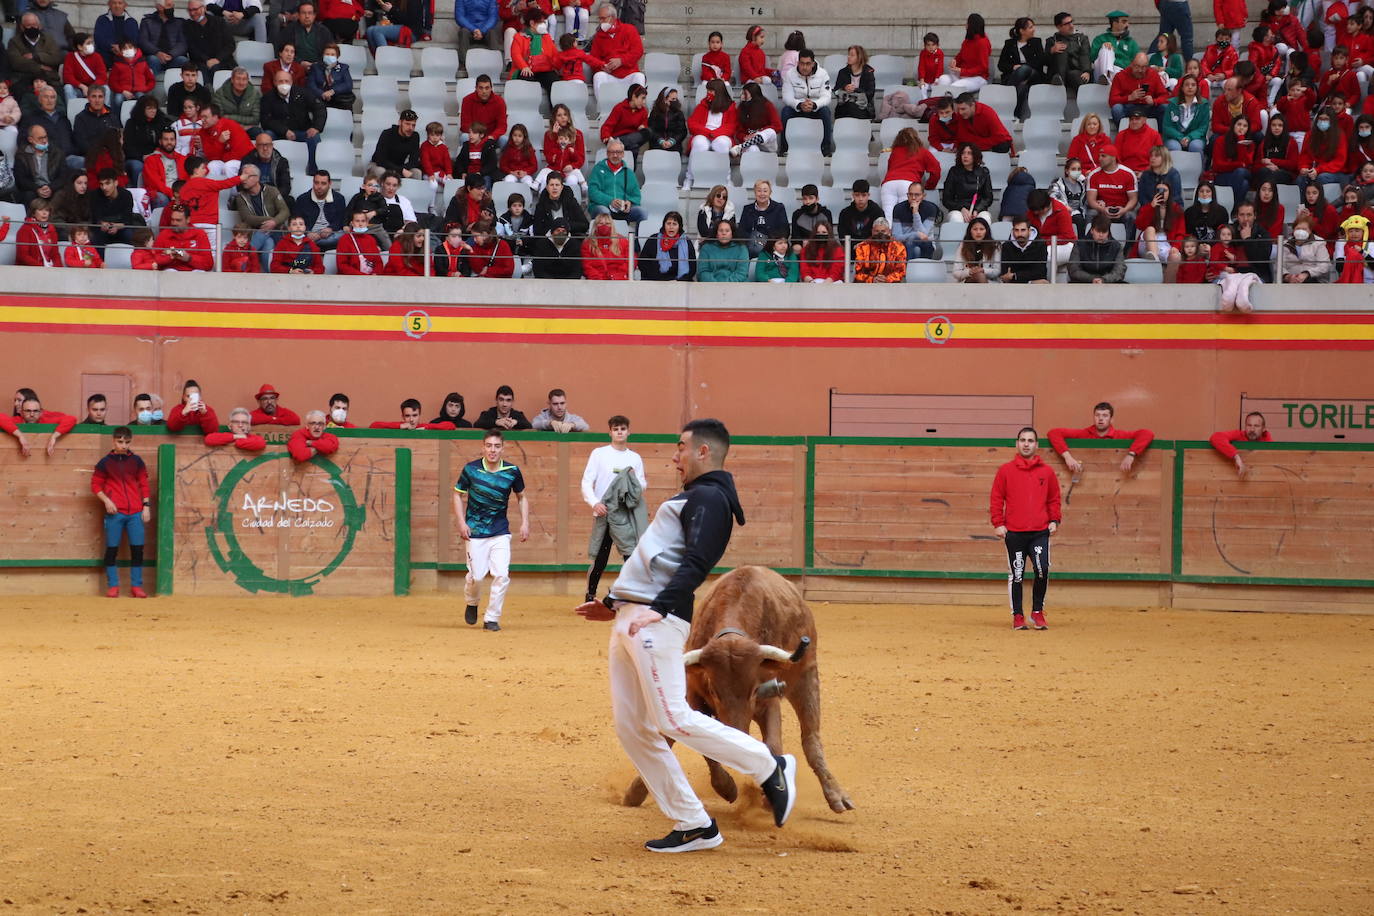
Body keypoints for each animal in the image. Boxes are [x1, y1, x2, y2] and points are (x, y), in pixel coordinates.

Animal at [621, 568, 846, 813]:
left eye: (755, 689)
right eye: (714, 690)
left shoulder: (768, 701)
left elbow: (773, 744)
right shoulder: (695, 700)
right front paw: (727, 788)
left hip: (806, 679)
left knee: (811, 738)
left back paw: (836, 795)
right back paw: (635, 793)